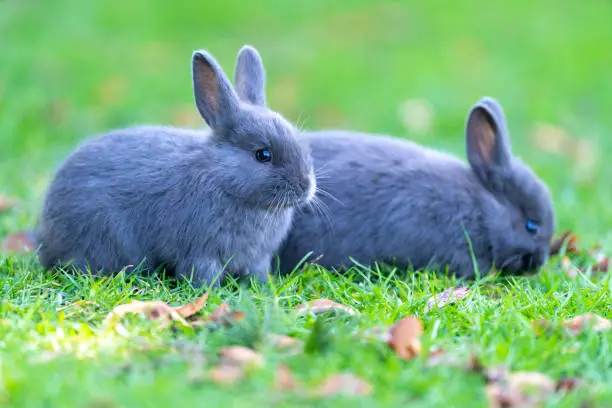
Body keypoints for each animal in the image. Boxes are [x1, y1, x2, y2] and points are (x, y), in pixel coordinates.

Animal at [38, 45, 316, 286]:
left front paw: (263, 288)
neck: (222, 179)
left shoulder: (257, 258)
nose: (305, 187)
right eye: (263, 155)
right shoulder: (201, 253)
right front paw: (208, 291)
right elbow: (203, 274)